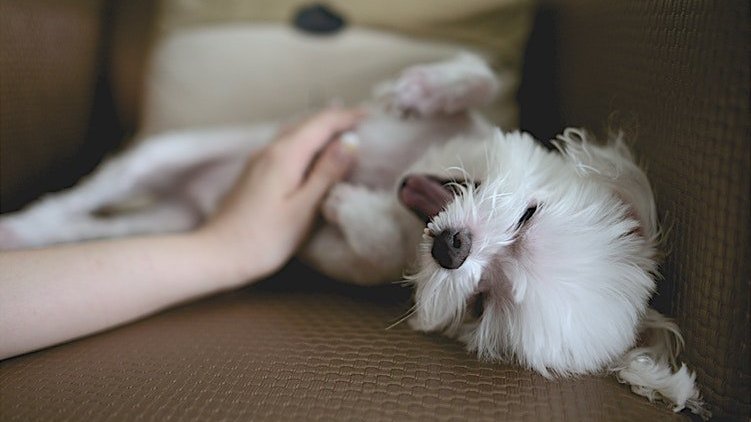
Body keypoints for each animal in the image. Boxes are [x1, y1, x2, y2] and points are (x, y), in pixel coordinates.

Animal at [0, 53, 708, 418]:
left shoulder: (350, 256)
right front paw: (425, 89)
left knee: (89, 223)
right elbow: (478, 76)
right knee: (93, 192)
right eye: (529, 215)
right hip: (166, 155)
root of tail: (192, 199)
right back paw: (22, 223)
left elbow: (365, 250)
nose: (453, 249)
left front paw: (349, 204)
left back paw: (28, 234)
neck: (408, 176)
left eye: (484, 304)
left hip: (168, 221)